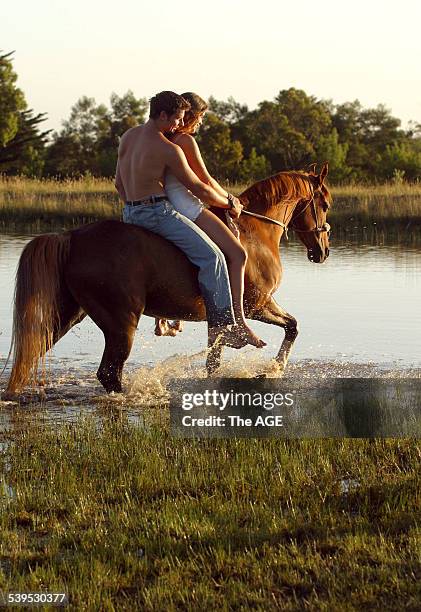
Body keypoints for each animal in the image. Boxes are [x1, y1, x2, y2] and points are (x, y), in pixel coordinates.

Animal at [4, 161, 332, 396]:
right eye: (326, 204)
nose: (323, 251)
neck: (255, 233)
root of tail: (72, 237)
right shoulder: (256, 305)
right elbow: (291, 327)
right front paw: (274, 368)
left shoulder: (225, 318)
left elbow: (216, 359)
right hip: (121, 323)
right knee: (109, 373)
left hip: (68, 314)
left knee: (34, 350)